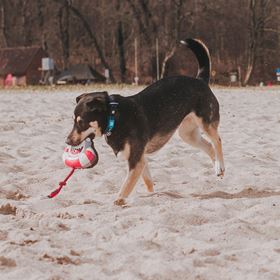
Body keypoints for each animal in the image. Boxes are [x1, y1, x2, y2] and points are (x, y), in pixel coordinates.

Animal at [67, 38, 225, 206]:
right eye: (73, 121)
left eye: (81, 122)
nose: (67, 141)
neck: (114, 117)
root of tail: (200, 80)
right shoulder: (140, 158)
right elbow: (147, 181)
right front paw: (152, 195)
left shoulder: (135, 160)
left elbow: (126, 185)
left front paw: (119, 200)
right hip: (187, 134)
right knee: (209, 146)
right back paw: (217, 169)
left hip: (205, 123)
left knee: (217, 141)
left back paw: (220, 165)